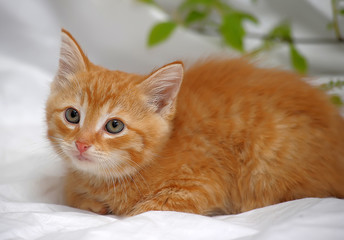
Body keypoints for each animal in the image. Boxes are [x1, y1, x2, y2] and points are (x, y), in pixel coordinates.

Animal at [45, 29, 344, 216]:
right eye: (73, 115)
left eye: (114, 126)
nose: (81, 144)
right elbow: (71, 193)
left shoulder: (199, 184)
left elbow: (142, 211)